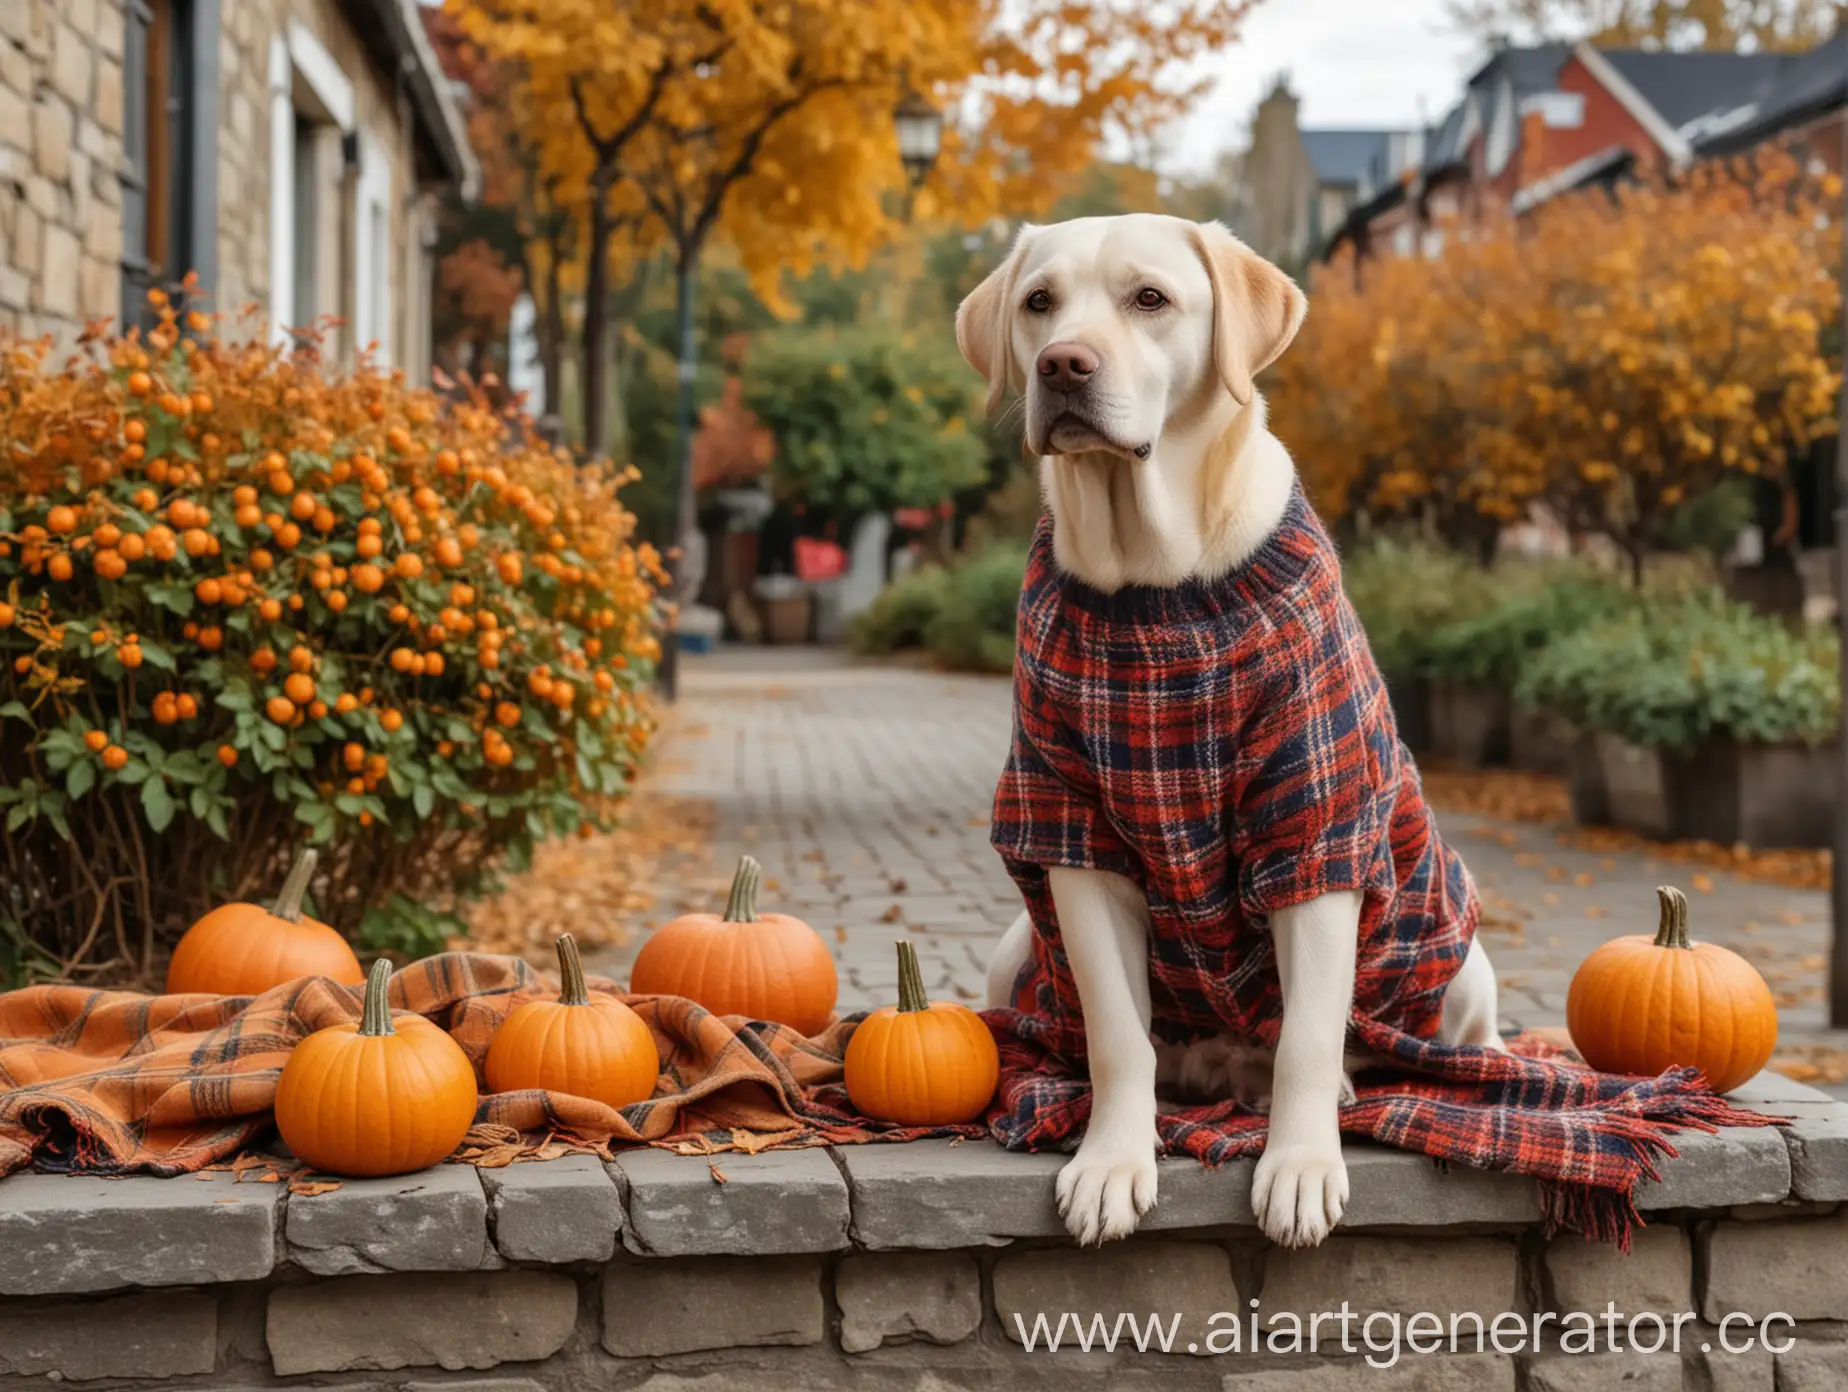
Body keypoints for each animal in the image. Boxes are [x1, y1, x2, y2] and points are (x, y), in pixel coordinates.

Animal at [953, 214, 1500, 1249]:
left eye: (1150, 300)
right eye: (1040, 302)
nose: (1061, 365)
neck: (1153, 592)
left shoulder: (1313, 818)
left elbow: (1309, 1033)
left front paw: (1301, 1164)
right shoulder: (1069, 824)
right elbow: (1119, 1037)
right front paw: (1112, 1160)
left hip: (1458, 962)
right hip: (1014, 955)